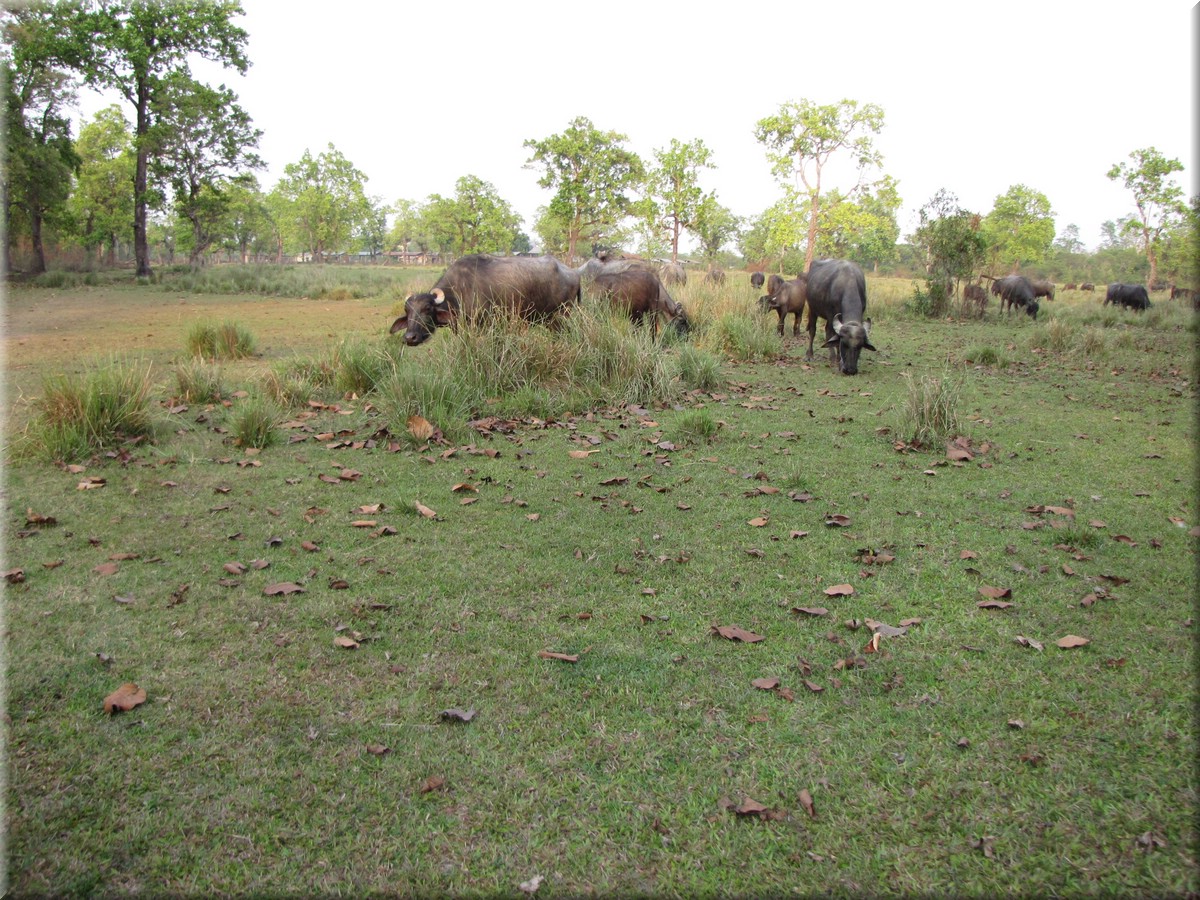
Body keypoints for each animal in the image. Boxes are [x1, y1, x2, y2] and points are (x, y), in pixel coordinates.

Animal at [391, 259, 578, 350]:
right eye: (407, 311)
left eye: (428, 309)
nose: (410, 337)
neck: (461, 290)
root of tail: (572, 273)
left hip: (561, 317)